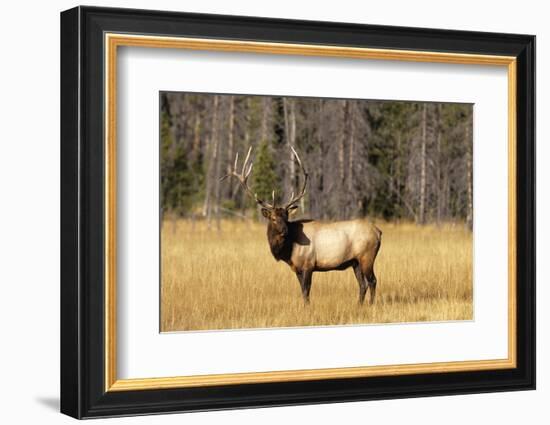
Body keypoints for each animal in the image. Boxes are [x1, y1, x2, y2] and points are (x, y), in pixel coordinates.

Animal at [222, 146, 382, 304]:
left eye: (286, 217)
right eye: (273, 218)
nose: (285, 231)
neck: (288, 251)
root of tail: (378, 232)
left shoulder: (308, 264)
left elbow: (306, 291)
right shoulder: (297, 268)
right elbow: (303, 292)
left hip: (367, 256)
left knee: (372, 281)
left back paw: (371, 304)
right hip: (355, 261)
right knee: (362, 284)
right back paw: (359, 305)